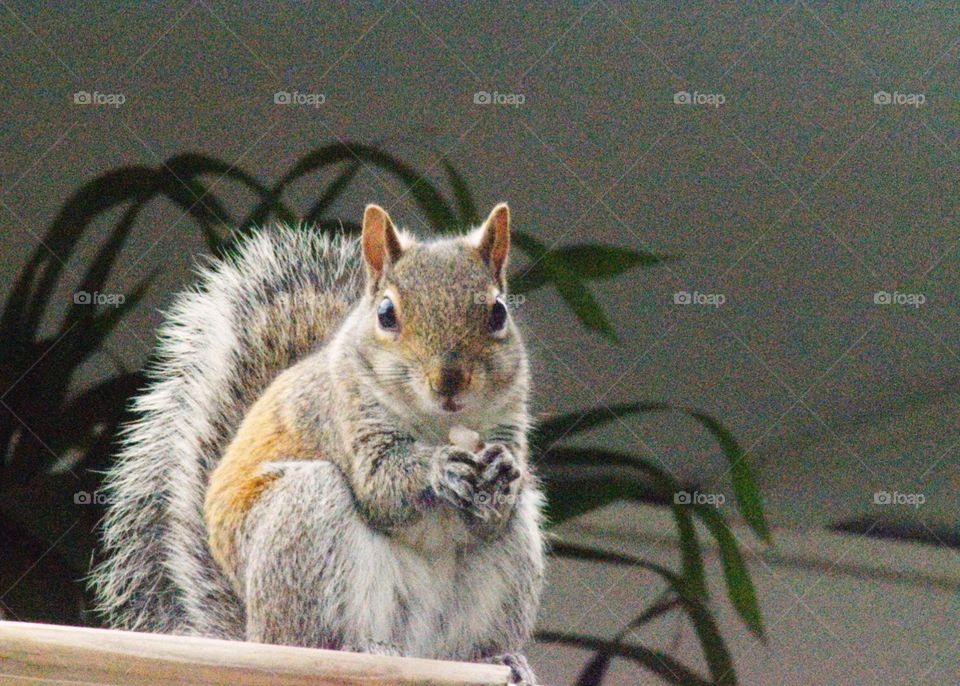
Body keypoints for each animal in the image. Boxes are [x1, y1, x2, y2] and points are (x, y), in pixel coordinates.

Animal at [90, 202, 545, 684]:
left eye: (498, 313)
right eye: (387, 313)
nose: (449, 382)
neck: (440, 423)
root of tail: (251, 634)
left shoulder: (509, 419)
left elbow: (494, 510)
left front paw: (502, 474)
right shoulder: (341, 416)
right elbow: (382, 487)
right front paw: (441, 467)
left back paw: (497, 659)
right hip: (303, 524)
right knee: (308, 639)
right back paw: (358, 649)